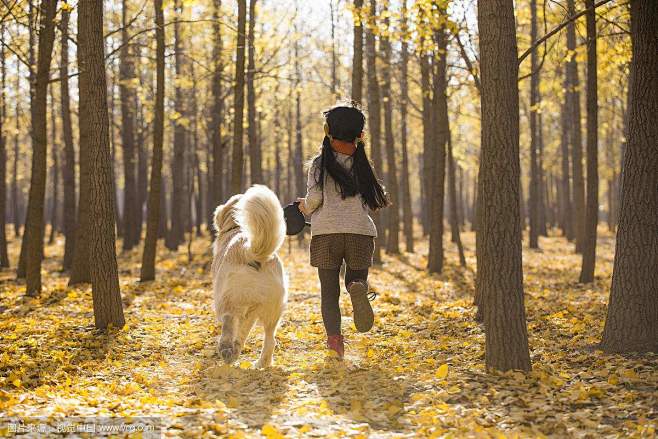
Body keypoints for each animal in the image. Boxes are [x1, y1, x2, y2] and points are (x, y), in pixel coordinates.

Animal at [211, 185, 286, 368]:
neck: (236, 228)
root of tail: (249, 250)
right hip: (272, 309)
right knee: (269, 339)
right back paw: (261, 363)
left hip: (226, 299)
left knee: (230, 323)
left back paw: (226, 351)